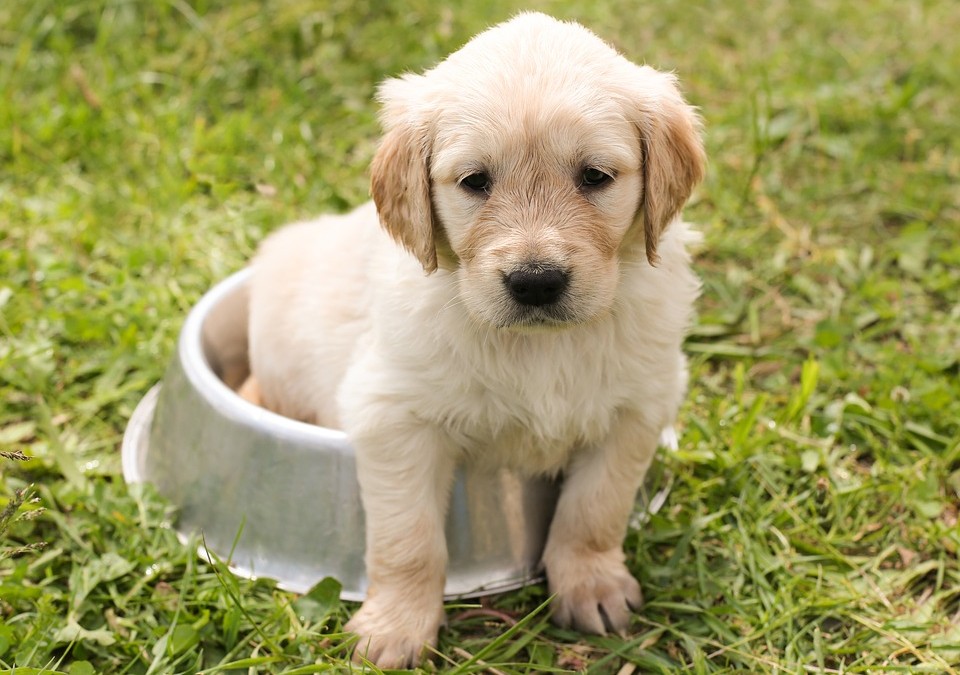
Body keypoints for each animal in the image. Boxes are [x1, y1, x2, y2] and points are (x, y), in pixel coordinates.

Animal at [246, 11, 704, 672]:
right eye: (474, 182)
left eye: (595, 177)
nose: (536, 282)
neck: (541, 346)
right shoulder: (393, 416)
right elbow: (409, 539)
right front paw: (394, 628)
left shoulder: (637, 408)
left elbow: (595, 510)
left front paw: (591, 585)